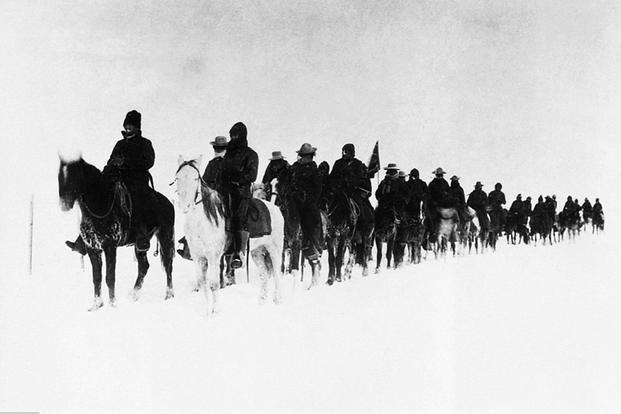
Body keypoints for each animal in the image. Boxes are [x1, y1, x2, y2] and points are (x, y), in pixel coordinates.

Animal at [58, 155, 174, 310]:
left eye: (74, 175)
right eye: (59, 175)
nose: (64, 203)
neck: (100, 207)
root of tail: (168, 203)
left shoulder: (110, 247)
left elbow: (110, 277)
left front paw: (112, 304)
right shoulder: (92, 248)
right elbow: (97, 278)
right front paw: (96, 305)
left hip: (165, 236)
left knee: (168, 265)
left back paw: (169, 295)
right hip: (140, 245)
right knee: (144, 266)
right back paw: (133, 295)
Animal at [172, 156, 284, 316]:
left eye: (195, 178)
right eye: (178, 178)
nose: (185, 206)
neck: (202, 222)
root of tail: (275, 208)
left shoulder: (213, 256)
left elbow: (213, 284)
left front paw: (216, 310)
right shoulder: (198, 257)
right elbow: (202, 283)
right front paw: (207, 311)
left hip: (274, 249)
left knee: (276, 273)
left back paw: (278, 300)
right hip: (257, 252)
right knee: (263, 275)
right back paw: (261, 302)